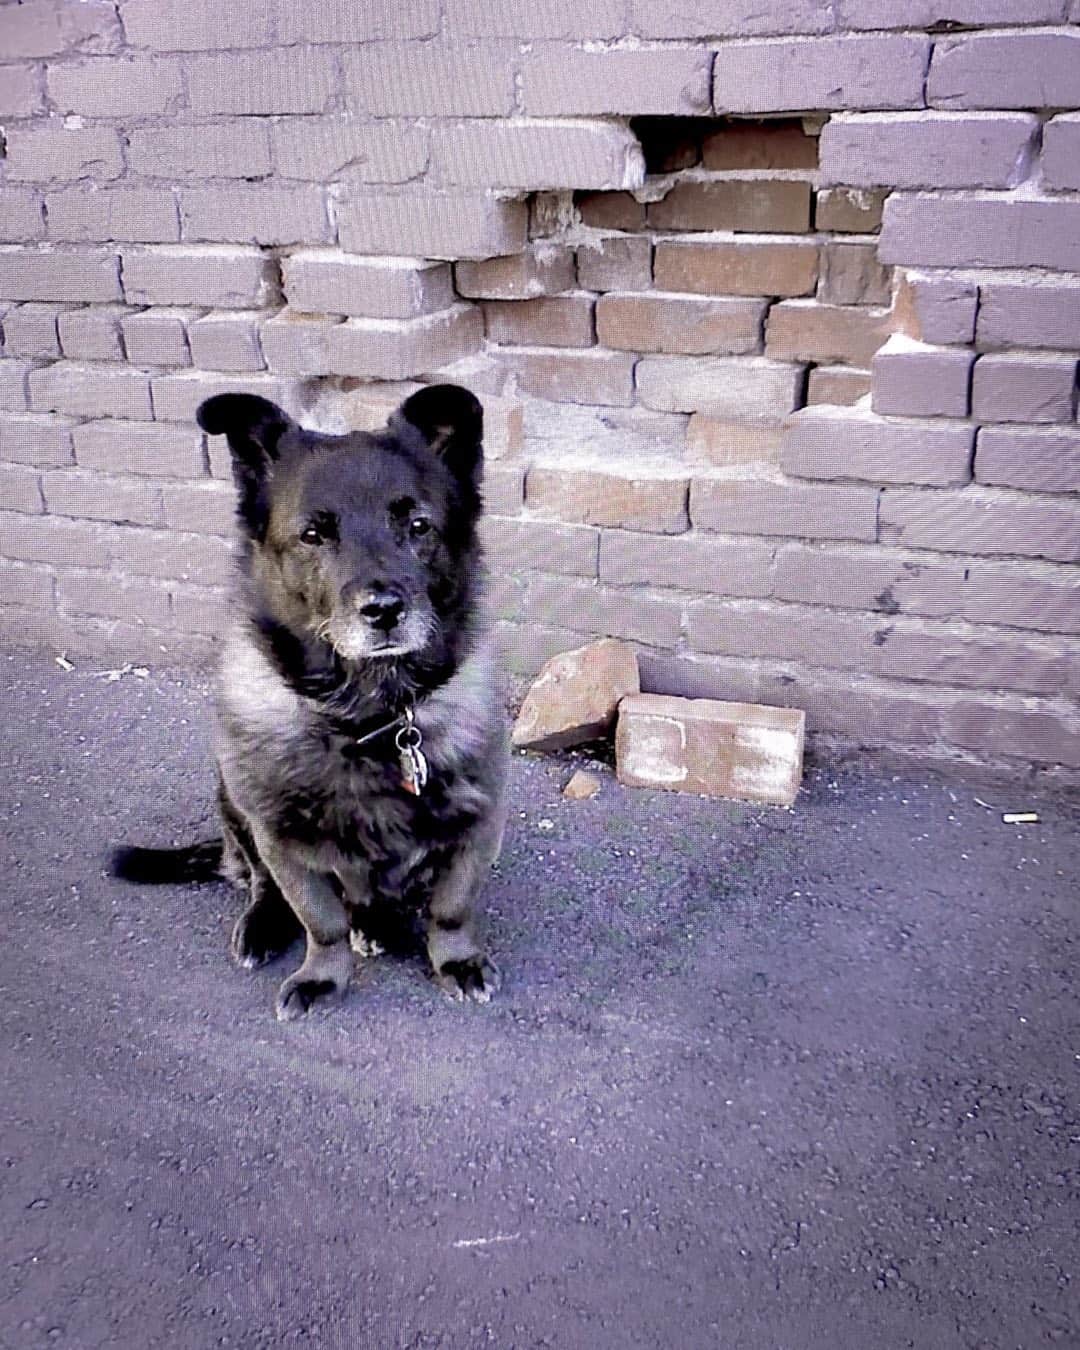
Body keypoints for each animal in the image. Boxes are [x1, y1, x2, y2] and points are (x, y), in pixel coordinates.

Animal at [112, 386, 507, 1015]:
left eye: (419, 526)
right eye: (313, 535)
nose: (383, 610)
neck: (369, 718)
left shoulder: (478, 825)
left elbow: (451, 909)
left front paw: (457, 961)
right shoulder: (281, 841)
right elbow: (321, 920)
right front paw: (323, 975)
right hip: (232, 805)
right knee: (259, 884)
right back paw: (267, 924)